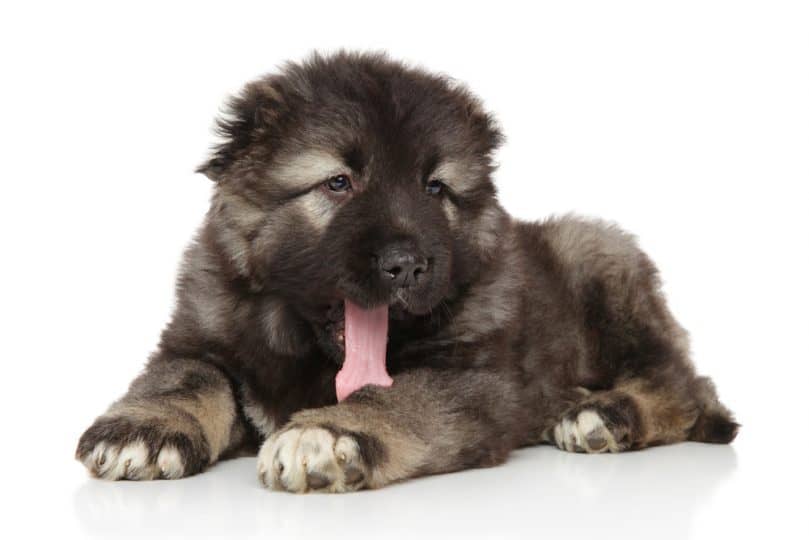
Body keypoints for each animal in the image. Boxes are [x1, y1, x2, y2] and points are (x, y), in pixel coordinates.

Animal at [77, 51, 740, 494]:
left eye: (435, 188)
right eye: (338, 183)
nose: (408, 265)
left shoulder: (471, 377)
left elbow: (395, 396)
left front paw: (329, 434)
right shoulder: (200, 332)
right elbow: (186, 376)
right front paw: (144, 428)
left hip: (595, 252)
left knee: (682, 383)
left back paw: (603, 414)